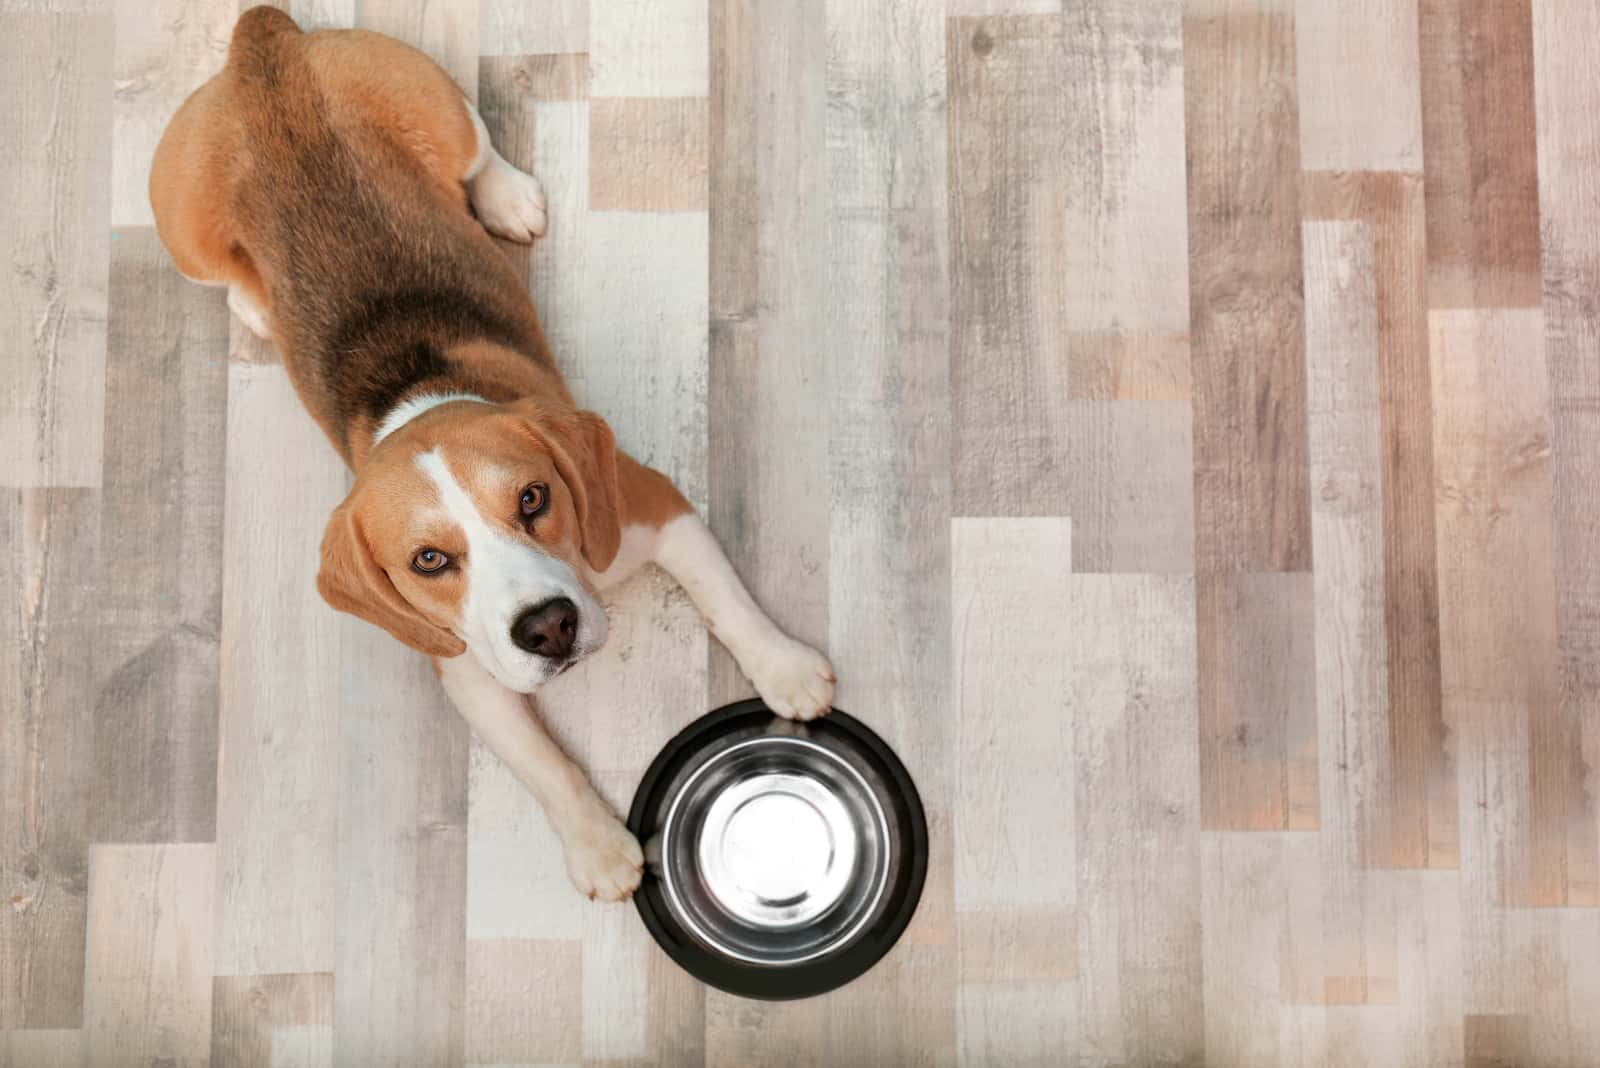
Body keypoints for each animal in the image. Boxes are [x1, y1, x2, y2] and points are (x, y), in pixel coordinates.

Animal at [150, 10, 838, 901]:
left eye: (534, 499)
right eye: (429, 560)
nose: (547, 628)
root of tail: (262, 44)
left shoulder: (655, 507)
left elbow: (729, 602)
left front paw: (784, 669)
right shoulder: (468, 671)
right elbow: (543, 763)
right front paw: (595, 845)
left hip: (432, 103)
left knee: (475, 146)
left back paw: (508, 197)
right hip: (185, 236)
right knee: (228, 277)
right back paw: (257, 304)